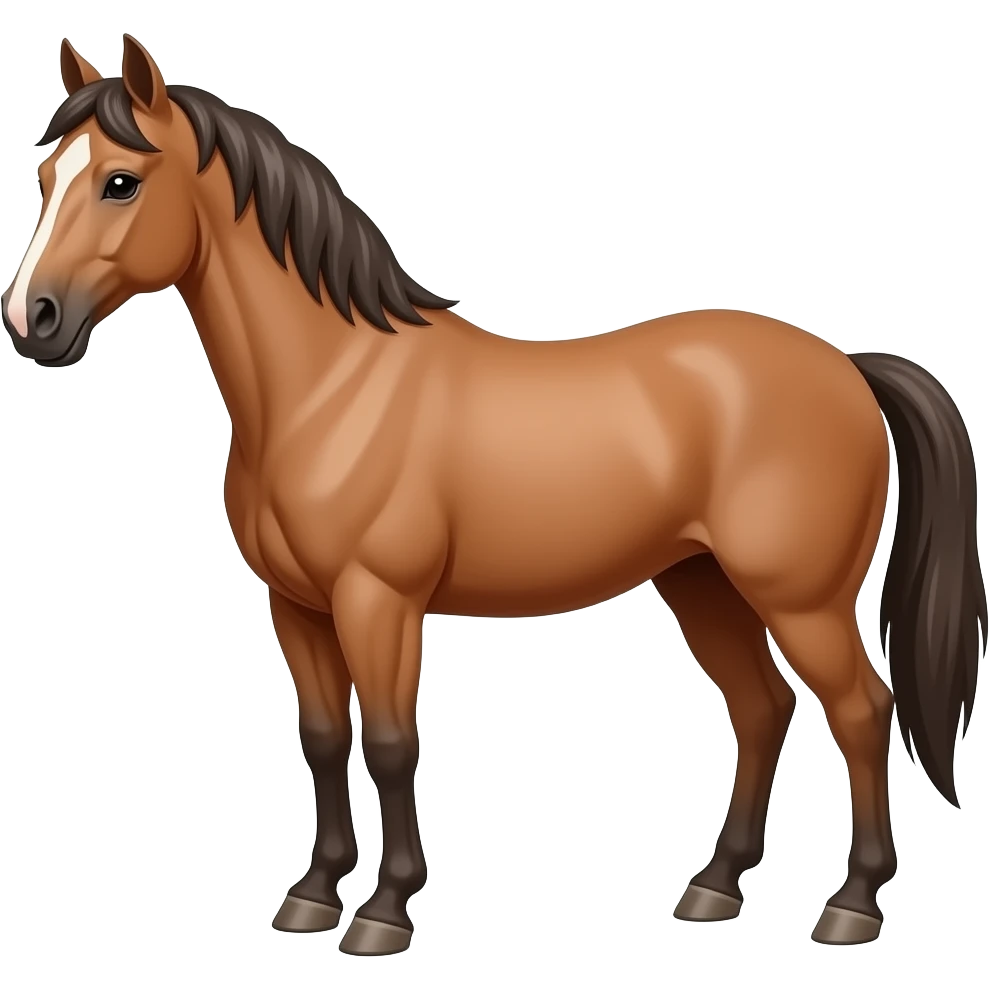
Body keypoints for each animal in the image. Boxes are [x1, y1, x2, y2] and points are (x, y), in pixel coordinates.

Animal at [2, 35, 985, 954]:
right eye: (48, 176)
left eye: (121, 182)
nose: (32, 319)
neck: (332, 385)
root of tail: (847, 367)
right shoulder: (297, 605)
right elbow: (322, 739)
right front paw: (312, 895)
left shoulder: (378, 601)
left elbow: (391, 744)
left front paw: (383, 912)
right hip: (700, 582)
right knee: (761, 708)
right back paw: (714, 886)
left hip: (799, 598)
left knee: (861, 711)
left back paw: (851, 904)